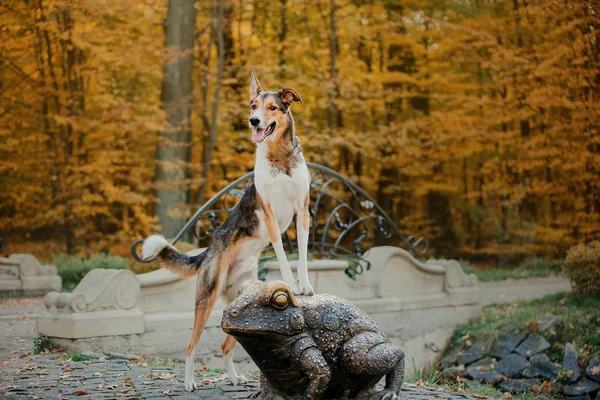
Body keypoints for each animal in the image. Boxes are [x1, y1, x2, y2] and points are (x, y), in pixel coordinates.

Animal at [141, 70, 314, 392]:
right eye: (252, 106)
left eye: (272, 108)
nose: (254, 121)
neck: (279, 158)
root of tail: (208, 250)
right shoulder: (271, 217)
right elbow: (284, 258)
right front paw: (291, 284)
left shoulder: (303, 211)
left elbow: (302, 257)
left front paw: (305, 285)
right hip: (206, 298)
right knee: (190, 347)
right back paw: (189, 382)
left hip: (242, 307)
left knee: (226, 345)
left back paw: (233, 378)